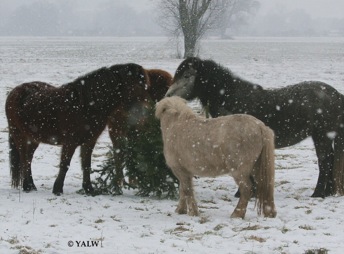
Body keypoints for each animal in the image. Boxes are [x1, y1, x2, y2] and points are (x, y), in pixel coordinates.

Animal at [5, 62, 150, 195]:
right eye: (140, 85)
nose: (144, 115)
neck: (86, 105)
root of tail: (14, 92)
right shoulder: (70, 142)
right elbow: (65, 164)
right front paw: (58, 189)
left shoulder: (89, 141)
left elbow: (86, 165)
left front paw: (89, 189)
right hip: (19, 135)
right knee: (24, 158)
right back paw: (27, 186)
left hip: (34, 138)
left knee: (28, 158)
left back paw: (31, 185)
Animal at [165, 57, 342, 198]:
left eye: (186, 75)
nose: (168, 96)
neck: (231, 98)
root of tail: (336, 95)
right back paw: (327, 192)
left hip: (322, 136)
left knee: (325, 161)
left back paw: (318, 193)